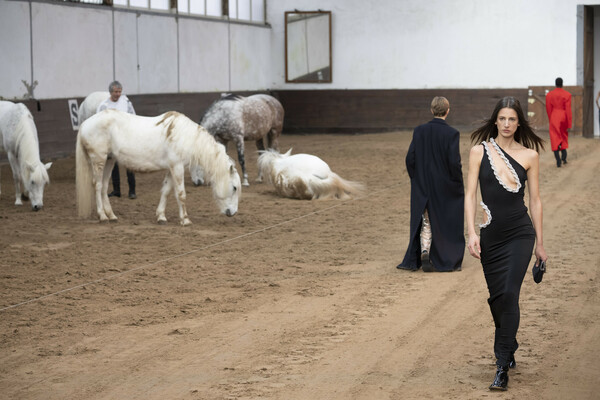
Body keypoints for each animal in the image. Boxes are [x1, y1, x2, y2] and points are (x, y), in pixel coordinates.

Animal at [77, 109, 241, 225]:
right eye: (234, 188)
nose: (233, 212)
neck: (186, 137)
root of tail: (85, 124)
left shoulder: (171, 168)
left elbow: (166, 191)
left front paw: (161, 216)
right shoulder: (177, 167)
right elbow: (181, 194)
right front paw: (185, 219)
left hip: (110, 161)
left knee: (104, 187)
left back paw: (111, 215)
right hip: (99, 160)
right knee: (98, 186)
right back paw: (102, 216)